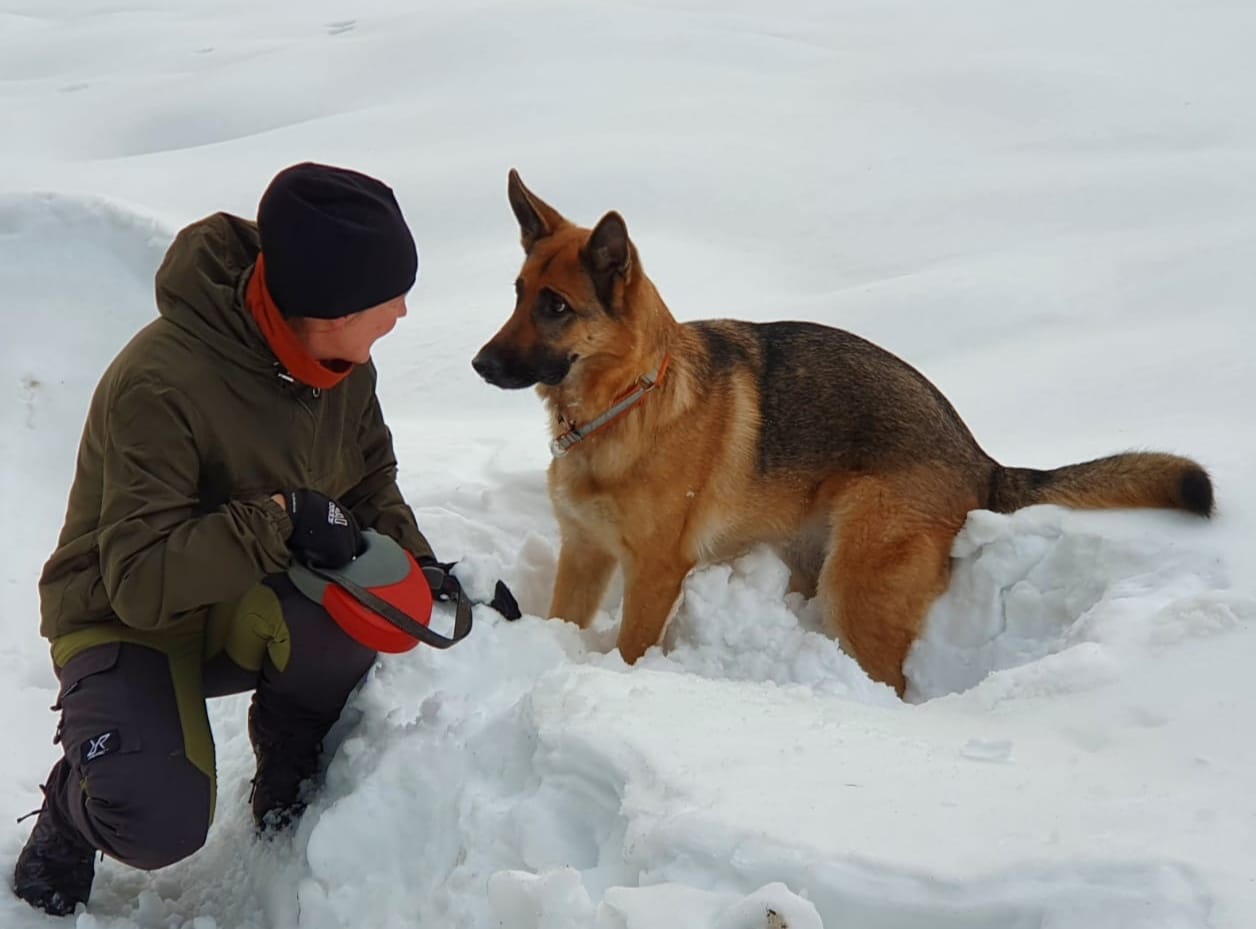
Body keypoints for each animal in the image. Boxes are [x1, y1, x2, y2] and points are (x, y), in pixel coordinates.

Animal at [472, 170, 1205, 698]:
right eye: (516, 293)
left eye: (556, 307)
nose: (477, 364)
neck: (626, 402)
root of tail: (981, 458)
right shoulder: (584, 554)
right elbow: (562, 619)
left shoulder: (653, 572)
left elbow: (630, 649)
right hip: (815, 560)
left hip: (857, 582)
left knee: (895, 683)